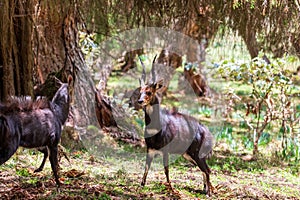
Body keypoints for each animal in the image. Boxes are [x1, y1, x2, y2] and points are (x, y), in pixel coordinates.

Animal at [138, 55, 213, 195]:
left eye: (149, 92)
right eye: (140, 91)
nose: (140, 101)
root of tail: (207, 131)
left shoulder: (165, 150)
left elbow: (166, 169)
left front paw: (171, 189)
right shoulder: (150, 149)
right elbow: (146, 168)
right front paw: (141, 185)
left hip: (196, 154)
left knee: (207, 170)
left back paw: (209, 192)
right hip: (189, 155)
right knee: (205, 169)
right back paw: (205, 189)